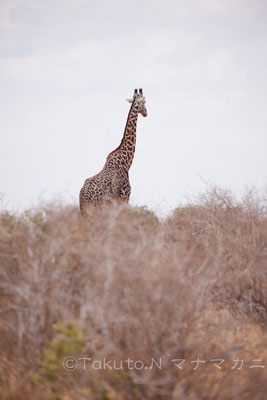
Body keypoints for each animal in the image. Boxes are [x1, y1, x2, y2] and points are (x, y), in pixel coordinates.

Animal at [79, 89, 148, 217]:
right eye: (145, 102)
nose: (146, 112)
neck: (126, 162)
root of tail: (84, 195)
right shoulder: (124, 197)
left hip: (85, 213)